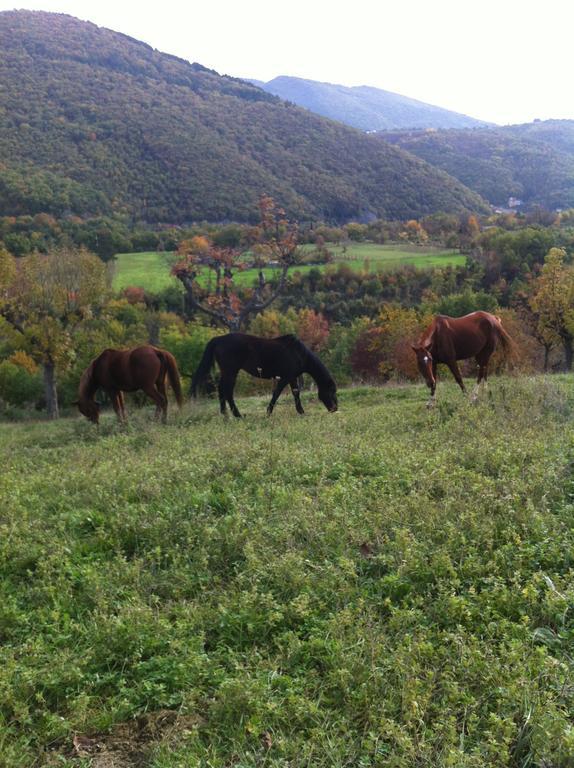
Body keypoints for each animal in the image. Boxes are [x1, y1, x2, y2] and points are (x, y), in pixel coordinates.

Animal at [191, 332, 340, 416]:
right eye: (331, 391)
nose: (334, 408)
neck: (299, 354)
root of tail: (218, 339)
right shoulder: (285, 377)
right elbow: (277, 393)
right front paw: (268, 412)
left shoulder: (292, 377)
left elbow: (296, 393)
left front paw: (301, 412)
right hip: (231, 372)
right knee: (227, 392)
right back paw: (237, 415)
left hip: (227, 372)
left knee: (221, 390)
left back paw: (225, 415)